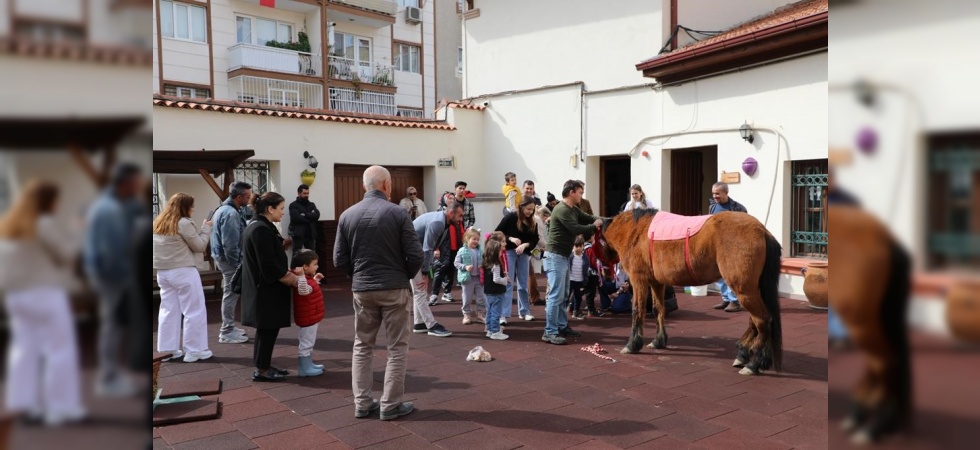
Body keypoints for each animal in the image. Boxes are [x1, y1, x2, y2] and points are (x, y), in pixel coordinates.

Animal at [592, 209, 784, 374]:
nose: (605, 276)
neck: (635, 231)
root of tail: (762, 231)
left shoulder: (638, 280)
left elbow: (637, 311)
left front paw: (632, 344)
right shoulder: (656, 282)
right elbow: (658, 309)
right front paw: (659, 341)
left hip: (744, 289)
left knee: (762, 320)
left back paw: (754, 363)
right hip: (751, 289)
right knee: (756, 321)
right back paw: (744, 353)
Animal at [832, 205, 916, 442]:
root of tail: (886, 239)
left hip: (860, 320)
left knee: (884, 360)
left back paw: (875, 426)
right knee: (878, 360)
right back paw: (861, 414)